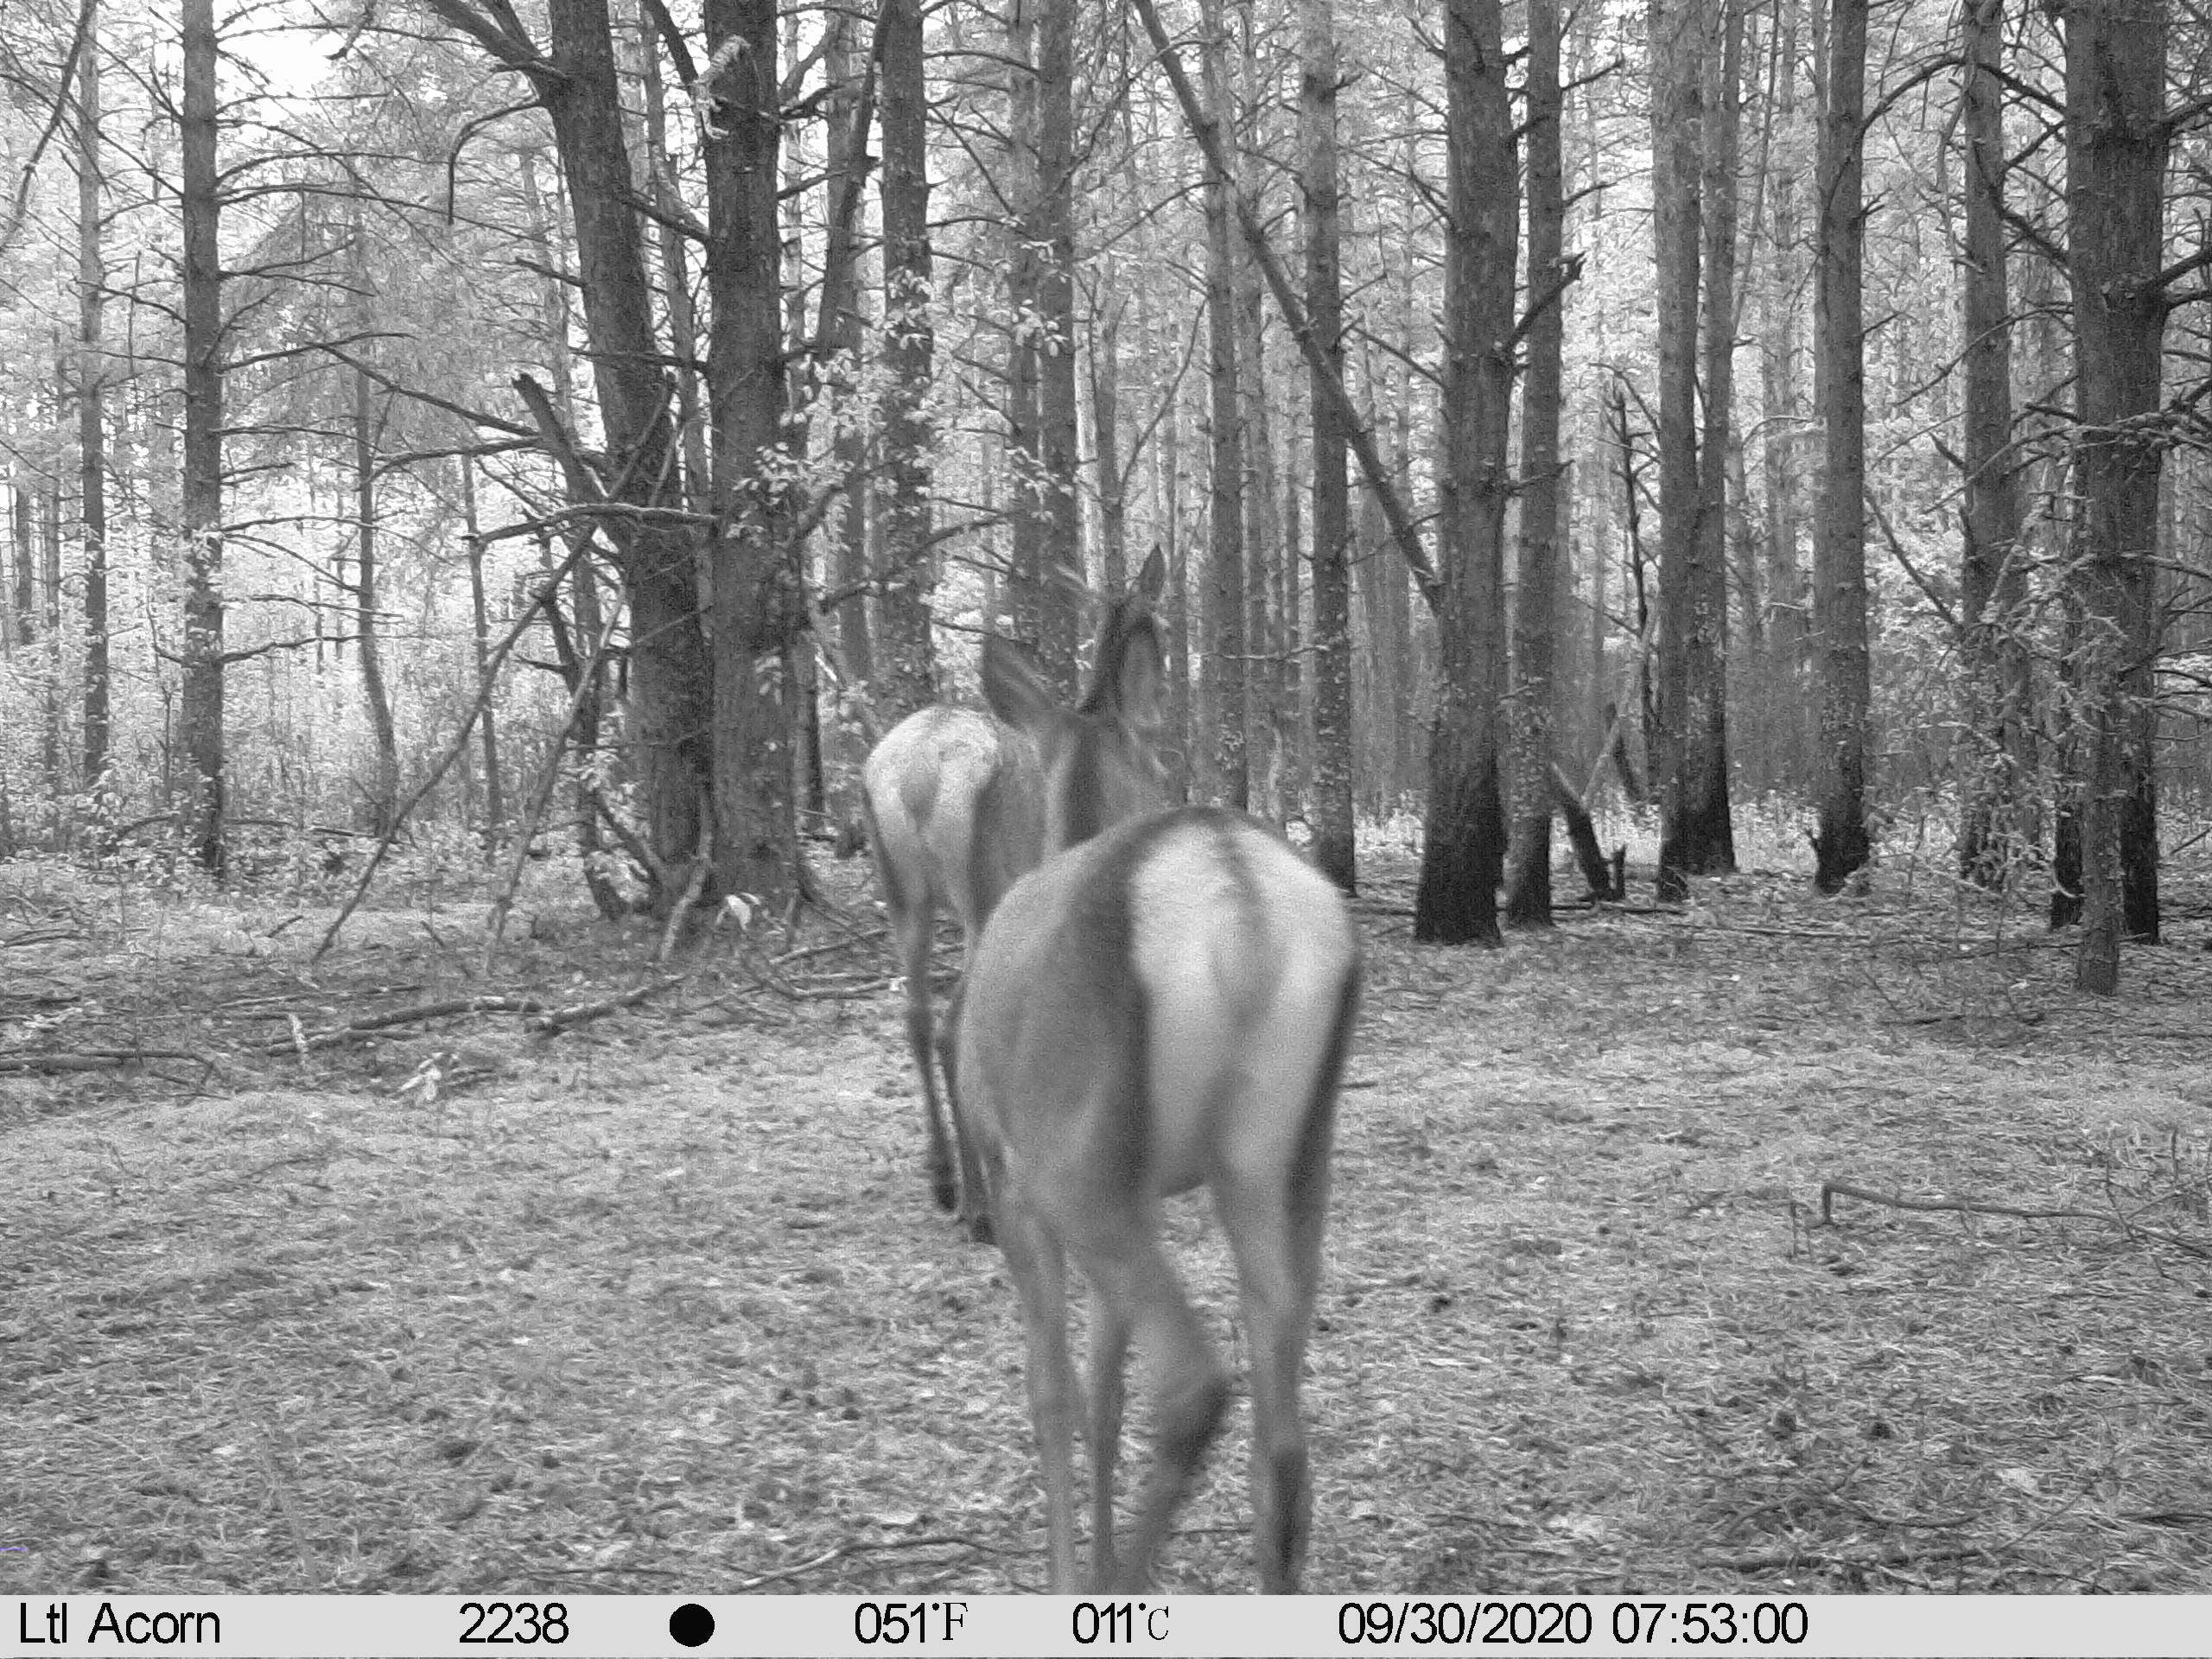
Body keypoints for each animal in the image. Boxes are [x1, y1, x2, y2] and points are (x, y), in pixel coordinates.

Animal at [861, 551, 1169, 1242]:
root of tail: (918, 778)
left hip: (906, 895)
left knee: (916, 1014)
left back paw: (944, 1178)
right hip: (983, 893)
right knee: (954, 1024)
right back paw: (979, 1204)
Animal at [952, 575, 1363, 1593]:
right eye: (1162, 753)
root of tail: (1239, 904)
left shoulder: (1019, 1176)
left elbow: (1055, 1393)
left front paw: (1070, 1571)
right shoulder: (1139, 1187)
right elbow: (1105, 1383)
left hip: (1075, 1157)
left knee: (1193, 1386)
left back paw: (1113, 1586)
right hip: (1285, 1158)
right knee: (1283, 1445)